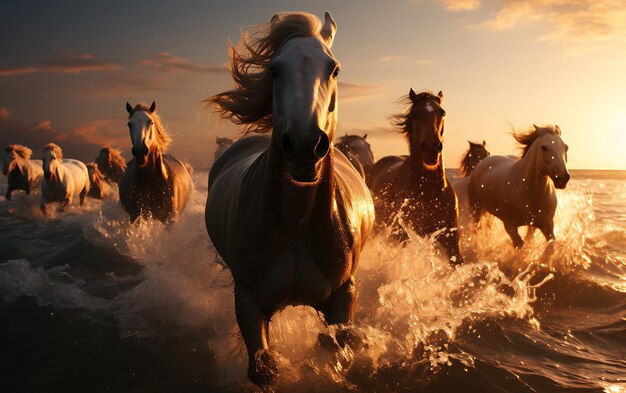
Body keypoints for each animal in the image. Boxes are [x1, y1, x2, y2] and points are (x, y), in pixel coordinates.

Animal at [205, 11, 372, 382]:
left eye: (334, 69)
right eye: (275, 69)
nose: (305, 145)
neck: (297, 224)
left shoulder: (344, 295)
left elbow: (335, 347)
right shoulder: (248, 299)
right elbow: (263, 369)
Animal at [368, 88, 460, 264]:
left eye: (442, 112)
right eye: (415, 114)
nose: (431, 148)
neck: (428, 192)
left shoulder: (451, 239)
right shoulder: (401, 231)